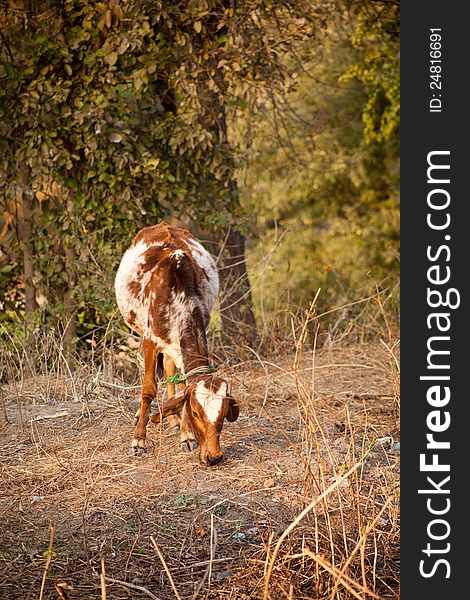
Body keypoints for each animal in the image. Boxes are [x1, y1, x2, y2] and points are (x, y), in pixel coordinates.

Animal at [114, 220, 239, 464]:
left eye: (222, 413)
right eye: (196, 412)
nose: (214, 457)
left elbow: (182, 385)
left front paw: (186, 435)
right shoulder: (150, 340)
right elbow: (148, 389)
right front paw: (138, 440)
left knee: (171, 371)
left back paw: (172, 419)